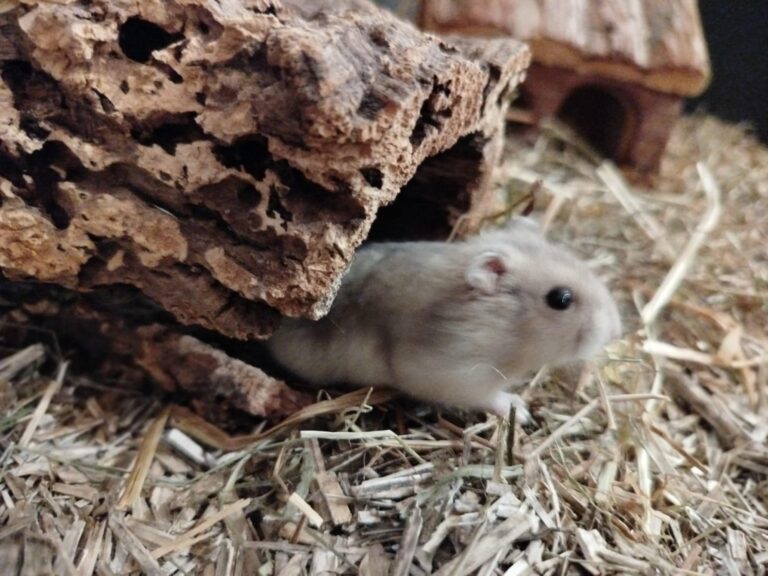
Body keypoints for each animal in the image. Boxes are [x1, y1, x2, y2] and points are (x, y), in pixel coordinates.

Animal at [266, 217, 622, 422]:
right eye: (561, 299)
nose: (615, 331)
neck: (506, 329)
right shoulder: (456, 375)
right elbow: (488, 396)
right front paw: (519, 410)